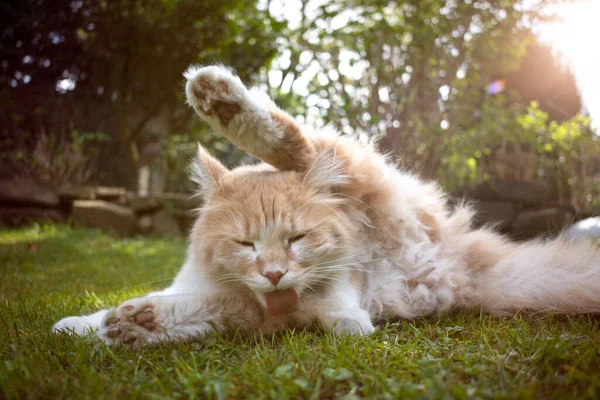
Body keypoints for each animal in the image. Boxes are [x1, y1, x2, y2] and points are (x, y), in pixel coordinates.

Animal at [52, 64, 600, 346]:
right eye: (245, 243)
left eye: (298, 238)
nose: (274, 274)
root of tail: (458, 267)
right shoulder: (233, 303)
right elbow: (185, 308)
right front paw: (110, 325)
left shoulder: (303, 300)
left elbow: (330, 309)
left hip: (365, 185)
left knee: (298, 142)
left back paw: (220, 97)